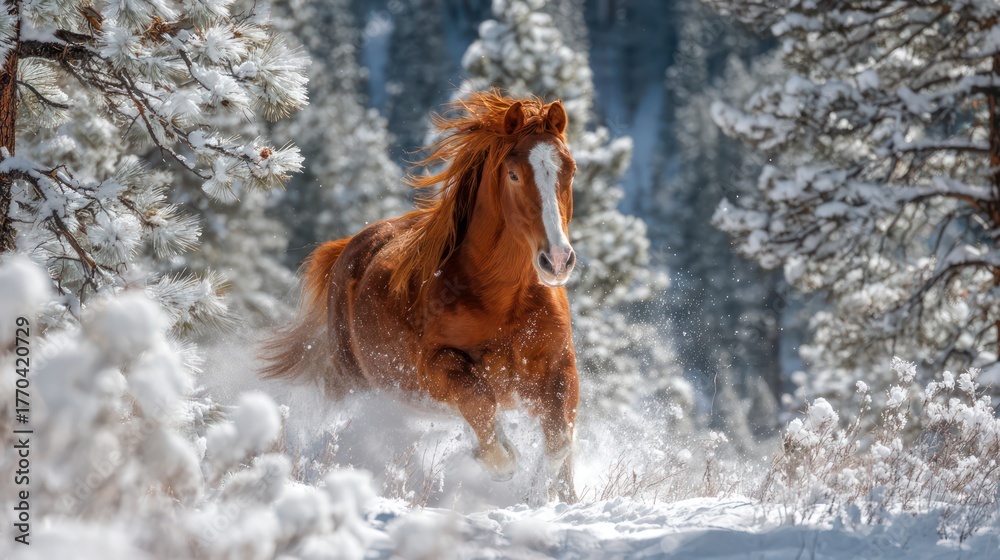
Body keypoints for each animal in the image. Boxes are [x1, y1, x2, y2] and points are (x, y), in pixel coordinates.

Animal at [262, 91, 580, 502]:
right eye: (513, 174)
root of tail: (349, 246)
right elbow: (479, 399)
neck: (504, 302)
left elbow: (558, 441)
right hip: (351, 382)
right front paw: (499, 460)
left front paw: (544, 496)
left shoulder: (560, 367)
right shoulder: (433, 367)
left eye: (569, 170)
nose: (556, 259)